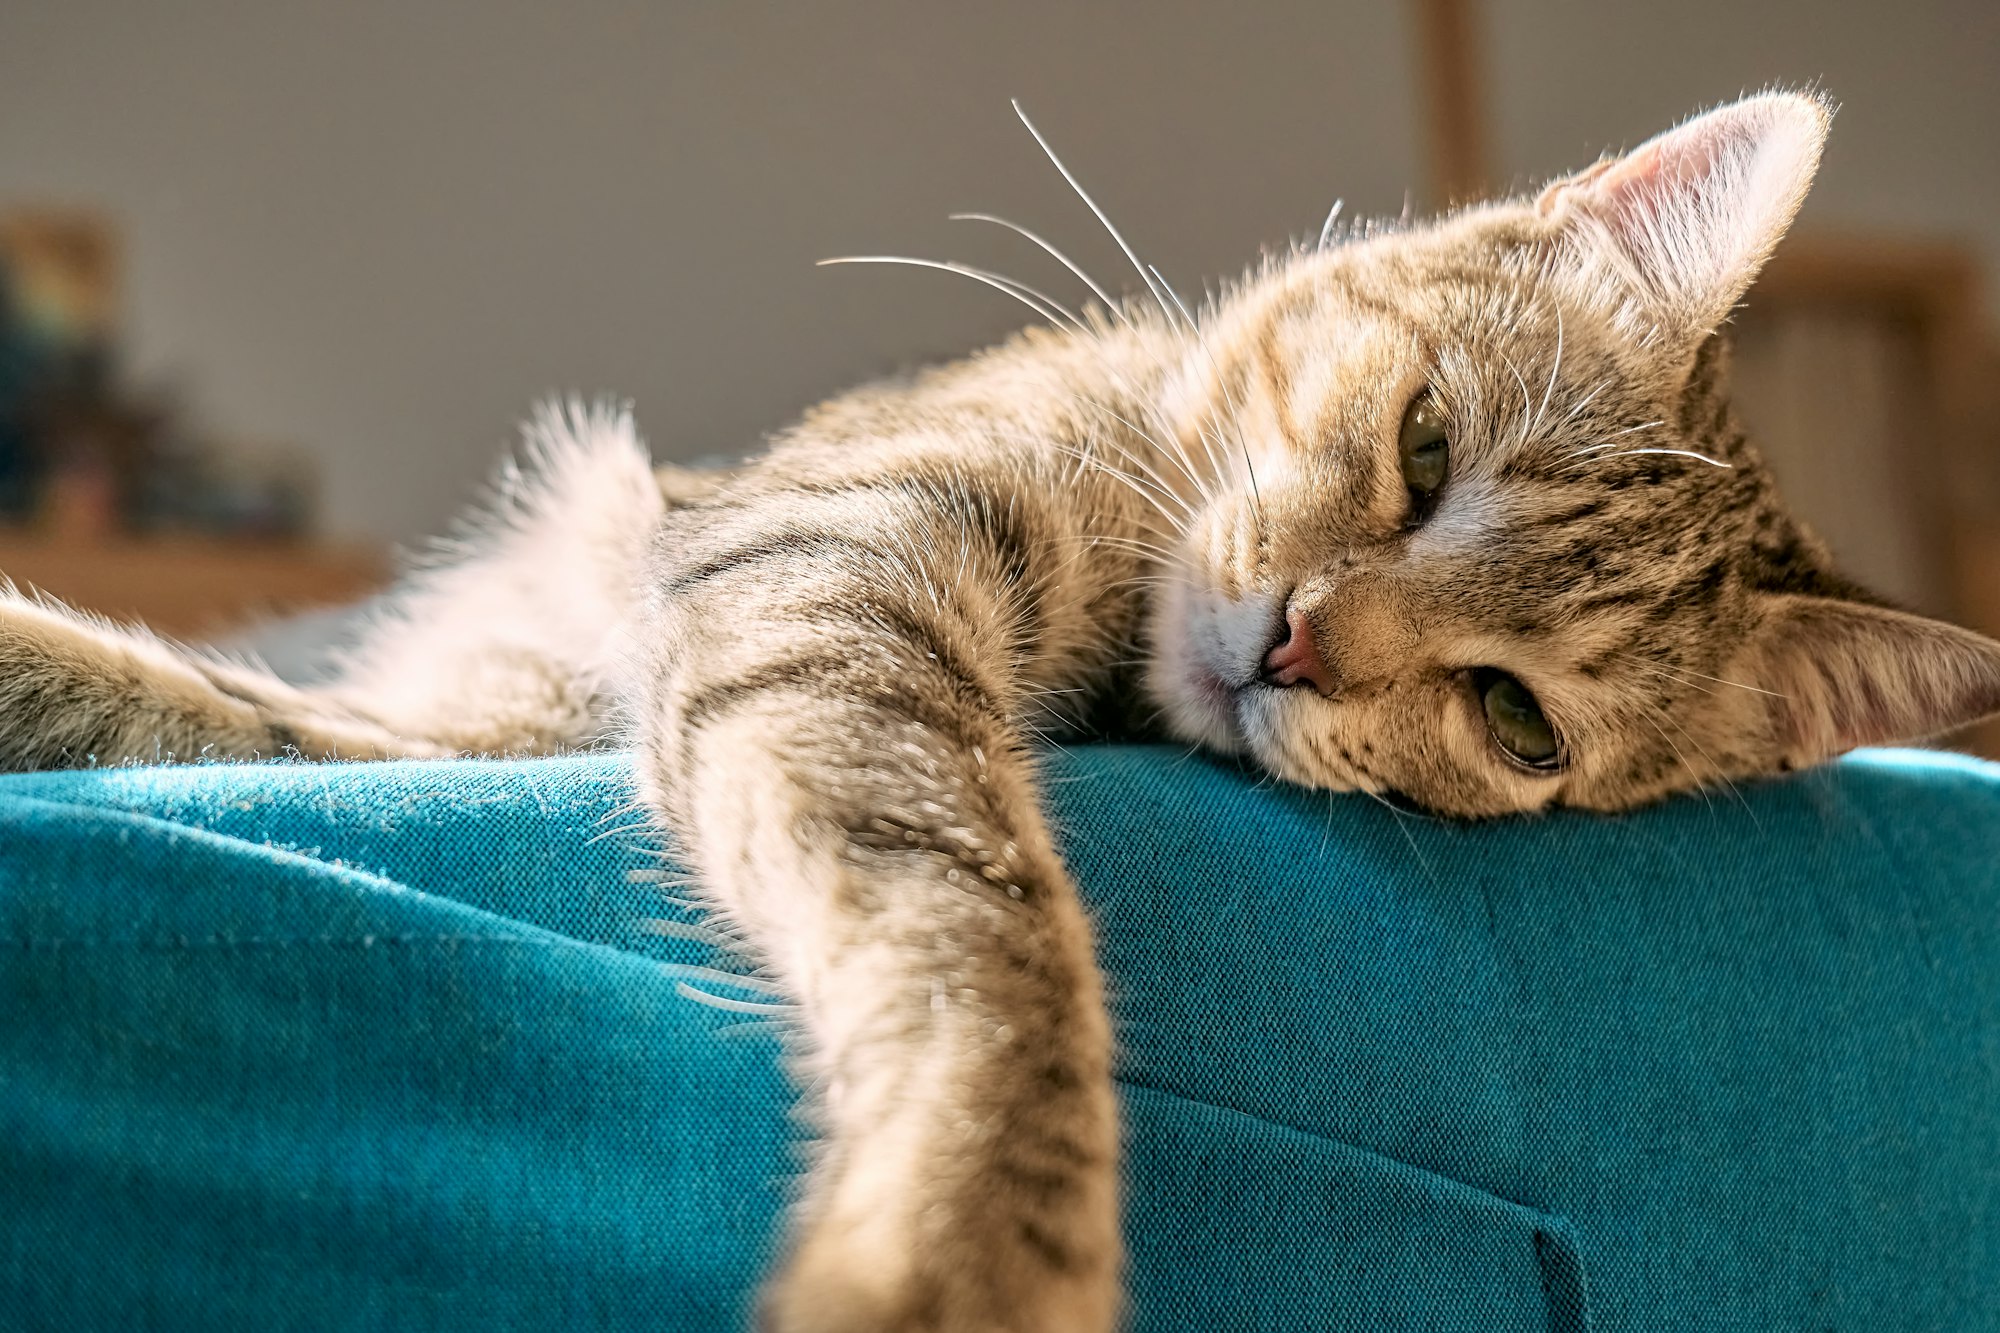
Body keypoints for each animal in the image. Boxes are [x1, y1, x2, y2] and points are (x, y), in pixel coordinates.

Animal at [3, 93, 2000, 1328]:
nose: (1297, 646)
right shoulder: (812, 556)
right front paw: (957, 1241)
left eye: (1519, 722)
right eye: (1427, 446)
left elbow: (968, 925)